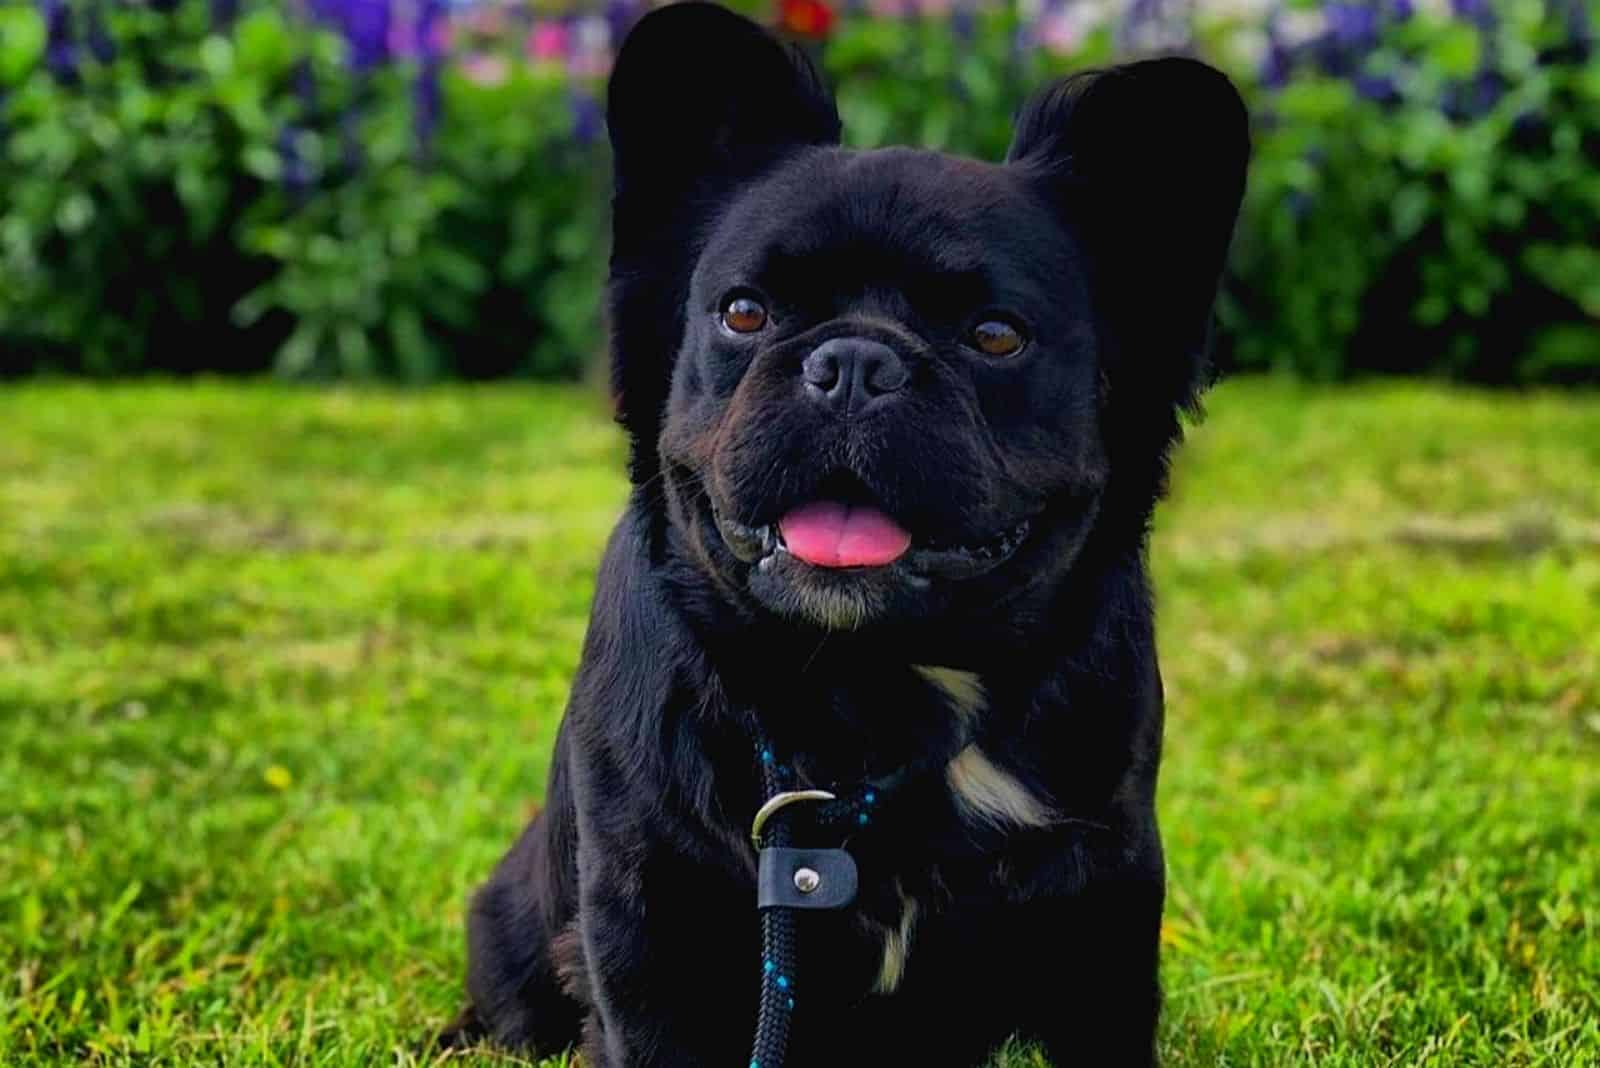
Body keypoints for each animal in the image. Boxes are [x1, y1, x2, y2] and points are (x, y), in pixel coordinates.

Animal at [451, 4, 1248, 1061]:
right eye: (743, 313)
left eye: (997, 336)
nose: (855, 364)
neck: (874, 685)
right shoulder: (646, 925)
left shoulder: (1104, 914)